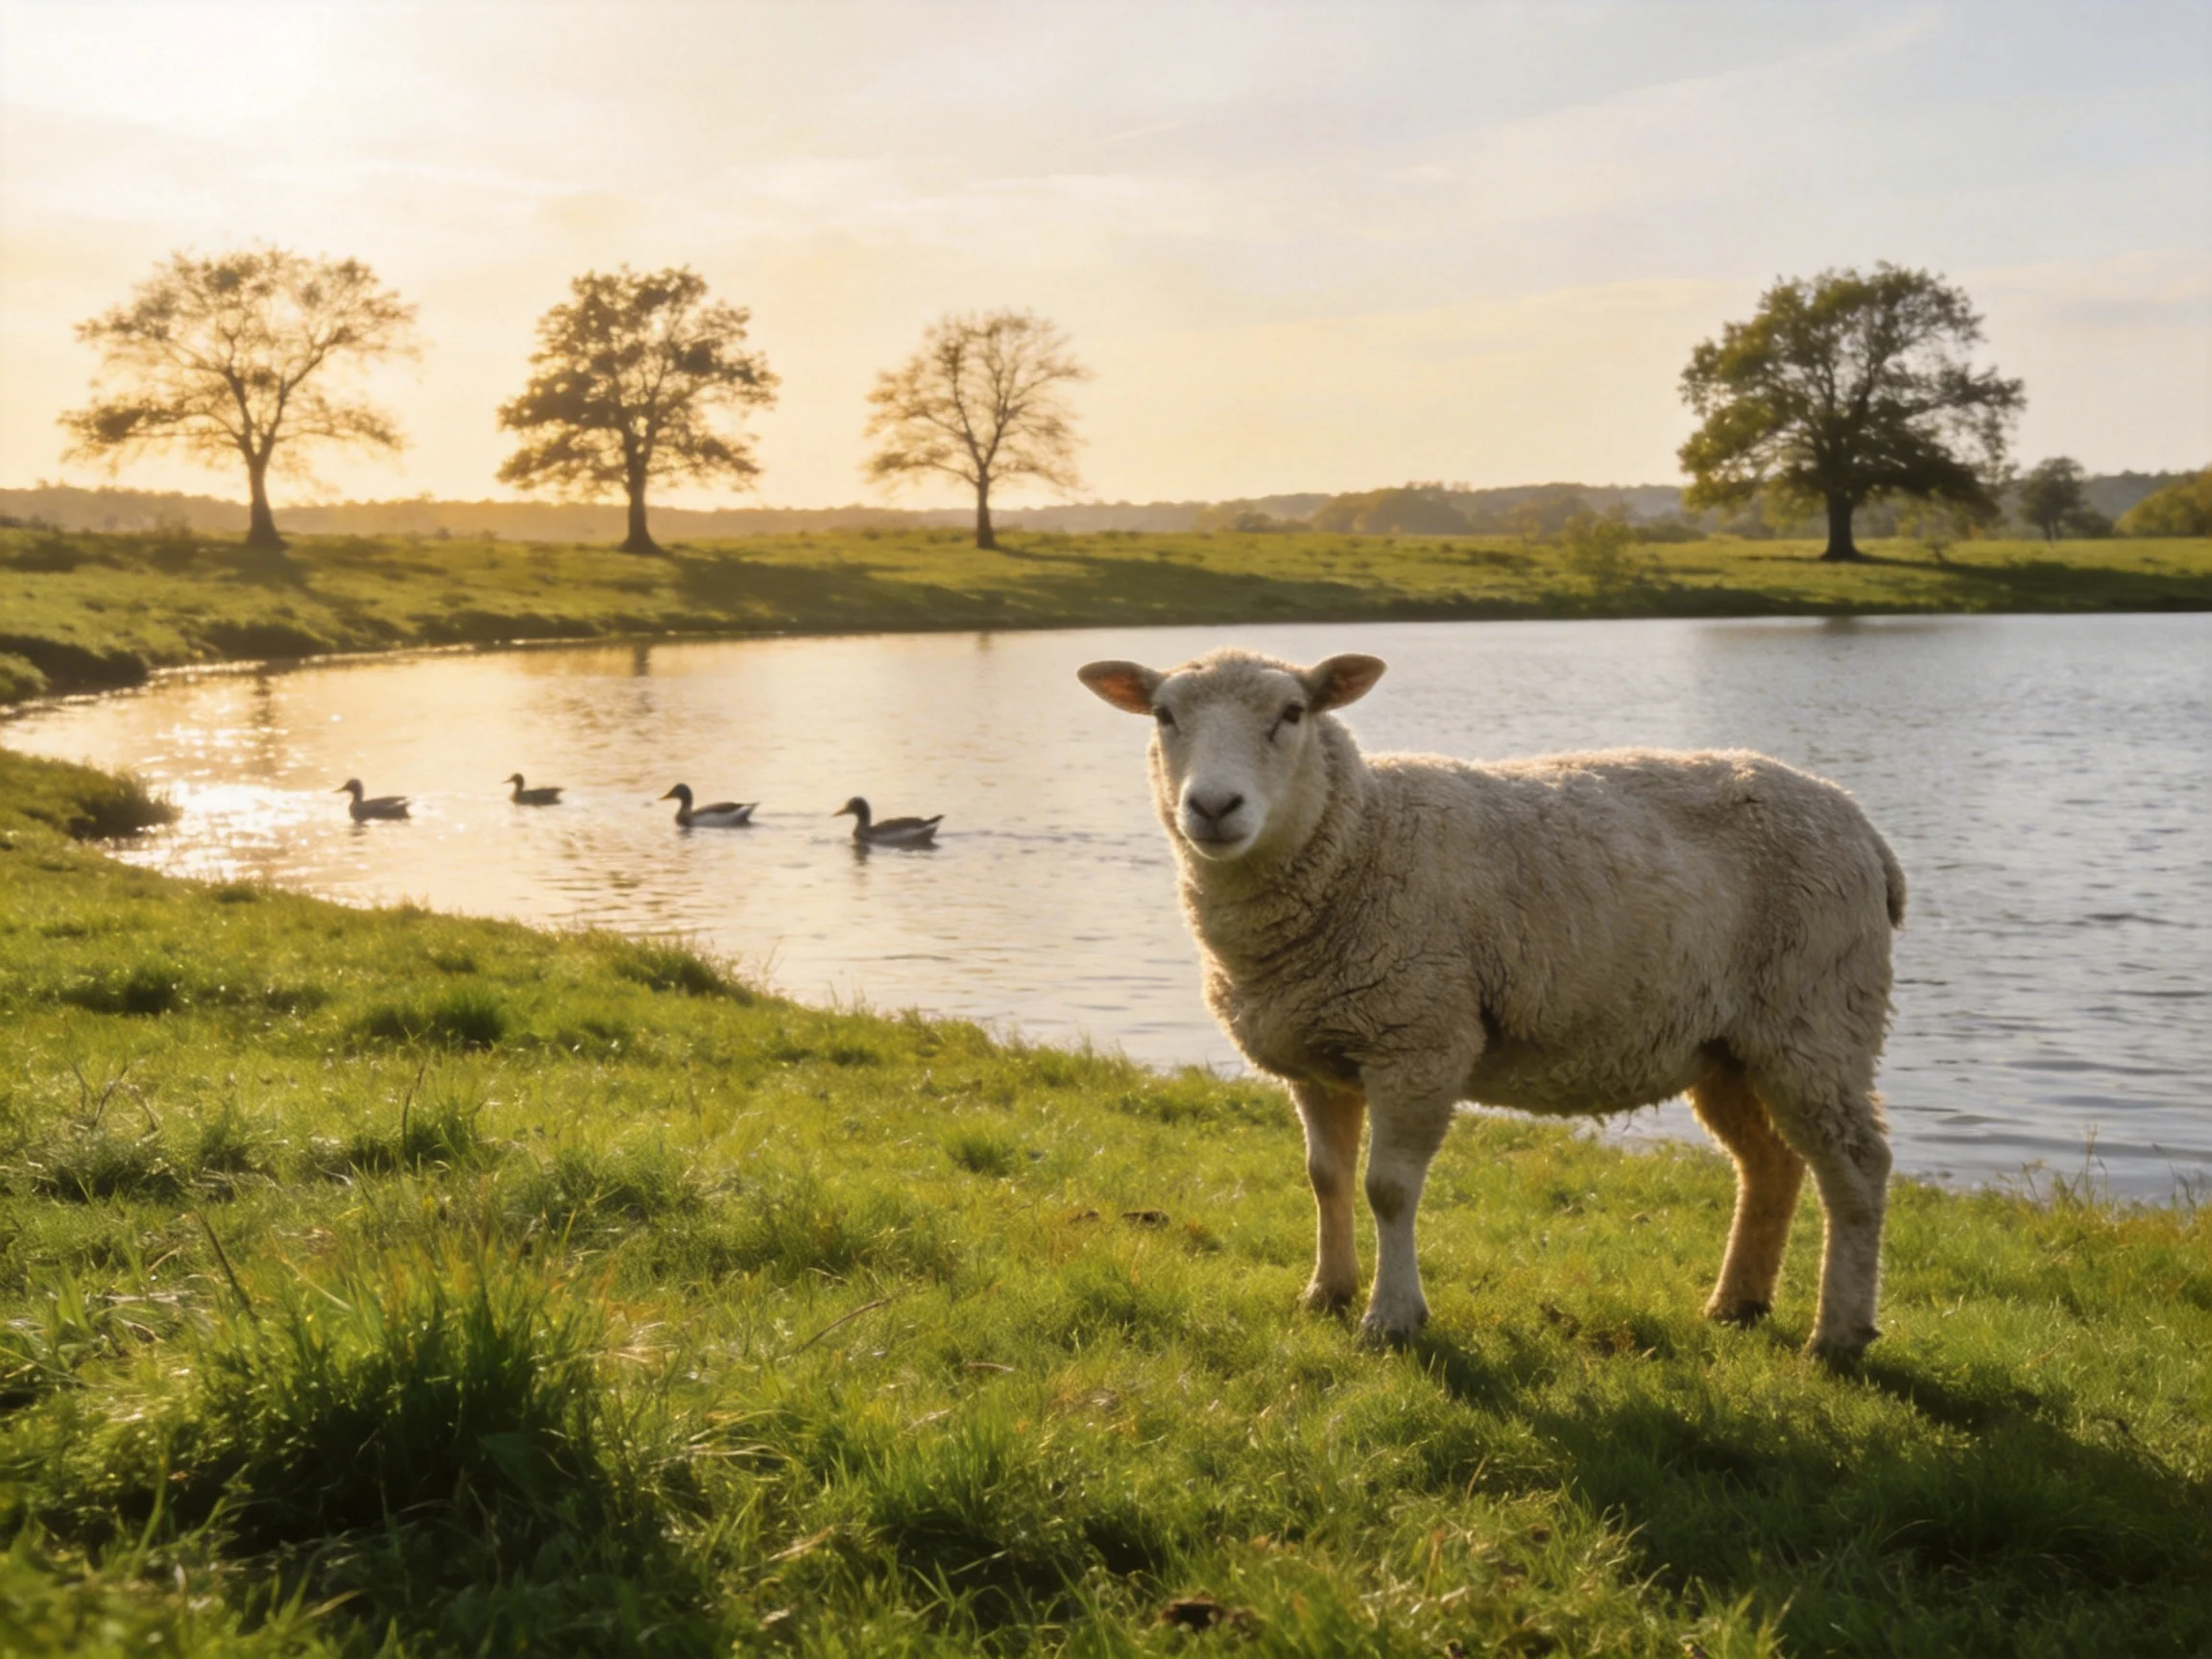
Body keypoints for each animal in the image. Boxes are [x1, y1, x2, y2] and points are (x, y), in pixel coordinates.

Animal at [1076, 647, 1905, 1364]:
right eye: (1163, 714)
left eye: (1292, 712)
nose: (1214, 805)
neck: (1361, 837)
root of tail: (1861, 823)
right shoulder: (1316, 1056)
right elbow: (1325, 1177)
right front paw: (1327, 1292)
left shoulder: (1418, 1038)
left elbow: (1387, 1188)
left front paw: (1391, 1318)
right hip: (1729, 1045)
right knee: (1769, 1165)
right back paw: (1738, 1304)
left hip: (1818, 1014)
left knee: (1856, 1167)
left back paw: (1838, 1336)